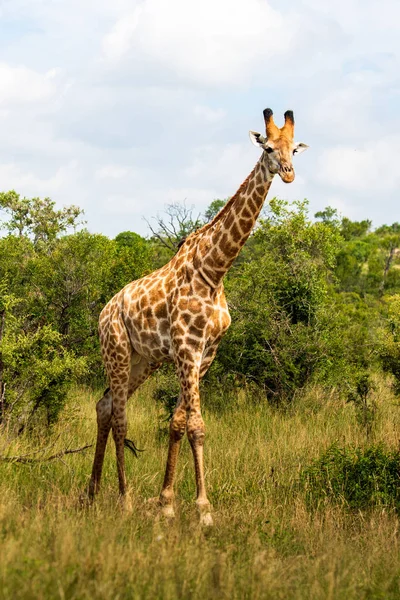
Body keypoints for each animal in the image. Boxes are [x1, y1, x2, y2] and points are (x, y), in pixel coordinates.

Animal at [89, 108, 310, 524]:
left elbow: (178, 422)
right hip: (117, 351)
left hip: (145, 360)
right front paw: (203, 510)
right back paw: (124, 500)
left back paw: (91, 493)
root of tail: (104, 311)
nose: (288, 173)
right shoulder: (187, 348)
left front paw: (167, 503)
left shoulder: (206, 352)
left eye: (295, 149)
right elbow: (196, 425)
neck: (215, 269)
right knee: (121, 416)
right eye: (268, 148)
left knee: (105, 405)